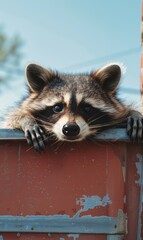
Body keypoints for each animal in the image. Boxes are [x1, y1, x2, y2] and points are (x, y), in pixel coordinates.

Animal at [3, 62, 143, 151]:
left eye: (87, 108)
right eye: (57, 108)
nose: (70, 129)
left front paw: (134, 114)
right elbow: (10, 121)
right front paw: (25, 119)